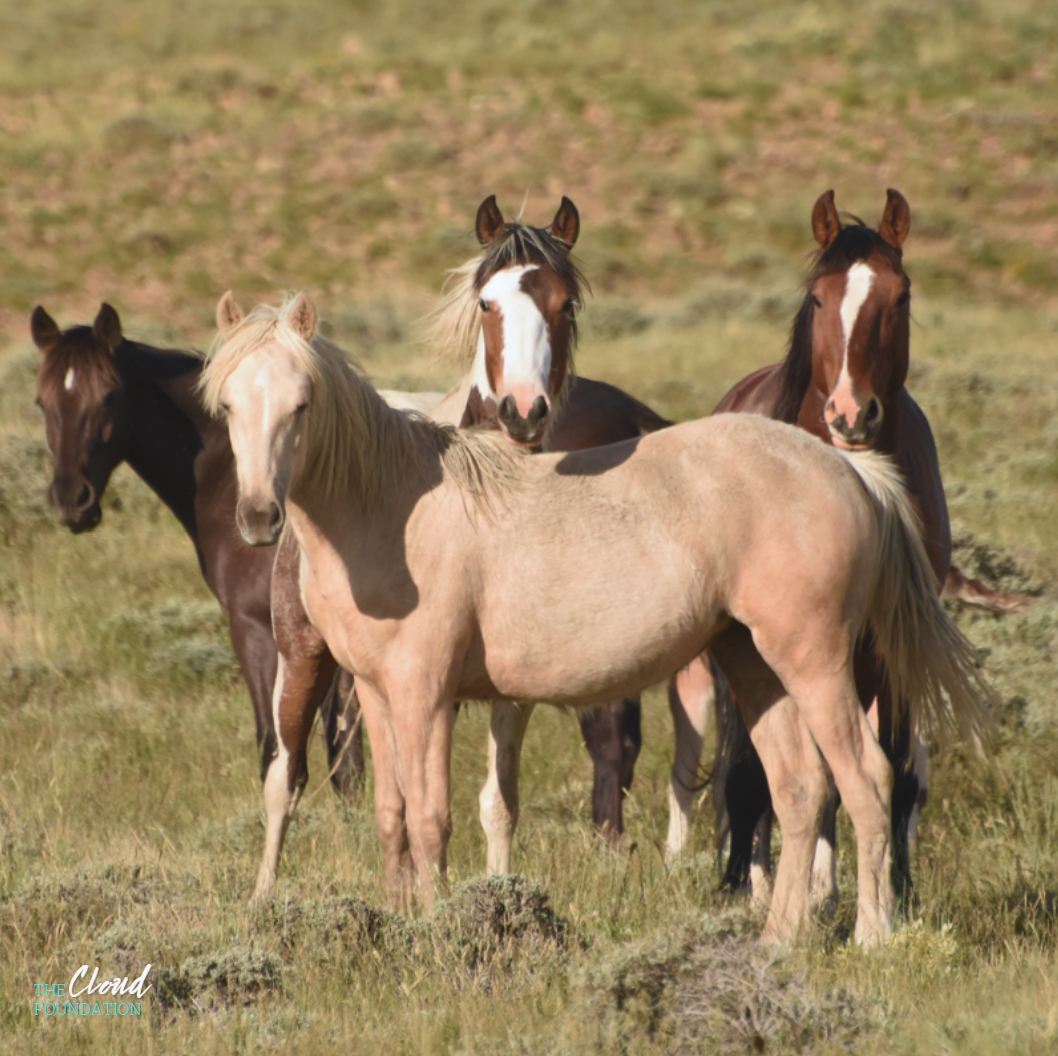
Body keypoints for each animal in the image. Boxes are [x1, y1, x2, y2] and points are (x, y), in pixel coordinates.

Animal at [31, 303, 365, 794]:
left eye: (109, 395)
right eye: (42, 401)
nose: (72, 500)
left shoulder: (256, 629)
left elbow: (283, 751)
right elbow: (340, 758)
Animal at [203, 290, 993, 946]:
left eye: (302, 404)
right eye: (230, 407)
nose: (259, 517)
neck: (390, 508)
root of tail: (849, 467)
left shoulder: (426, 694)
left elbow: (430, 820)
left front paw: (436, 931)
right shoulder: (374, 691)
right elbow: (392, 817)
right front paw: (400, 921)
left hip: (816, 663)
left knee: (867, 781)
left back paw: (870, 936)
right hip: (754, 666)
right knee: (800, 791)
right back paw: (779, 939)